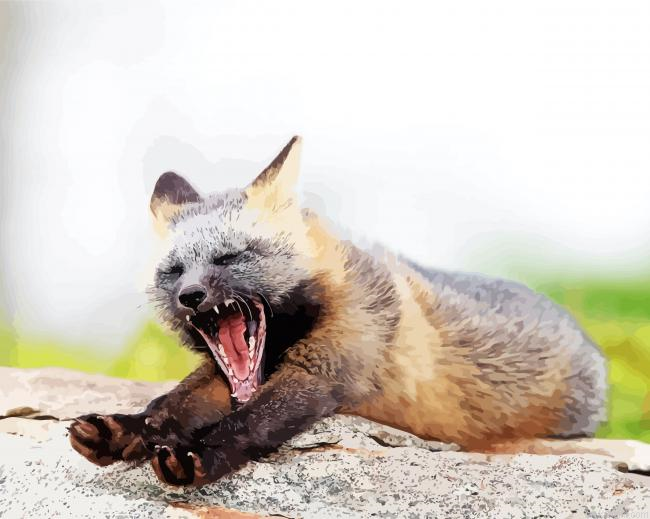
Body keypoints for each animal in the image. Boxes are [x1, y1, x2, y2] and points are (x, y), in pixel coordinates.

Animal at [69, 136, 650, 486]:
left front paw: (197, 456)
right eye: (174, 271)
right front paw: (125, 429)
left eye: (230, 258)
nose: (191, 296)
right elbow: (169, 405)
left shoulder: (323, 372)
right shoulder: (223, 376)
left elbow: (247, 423)